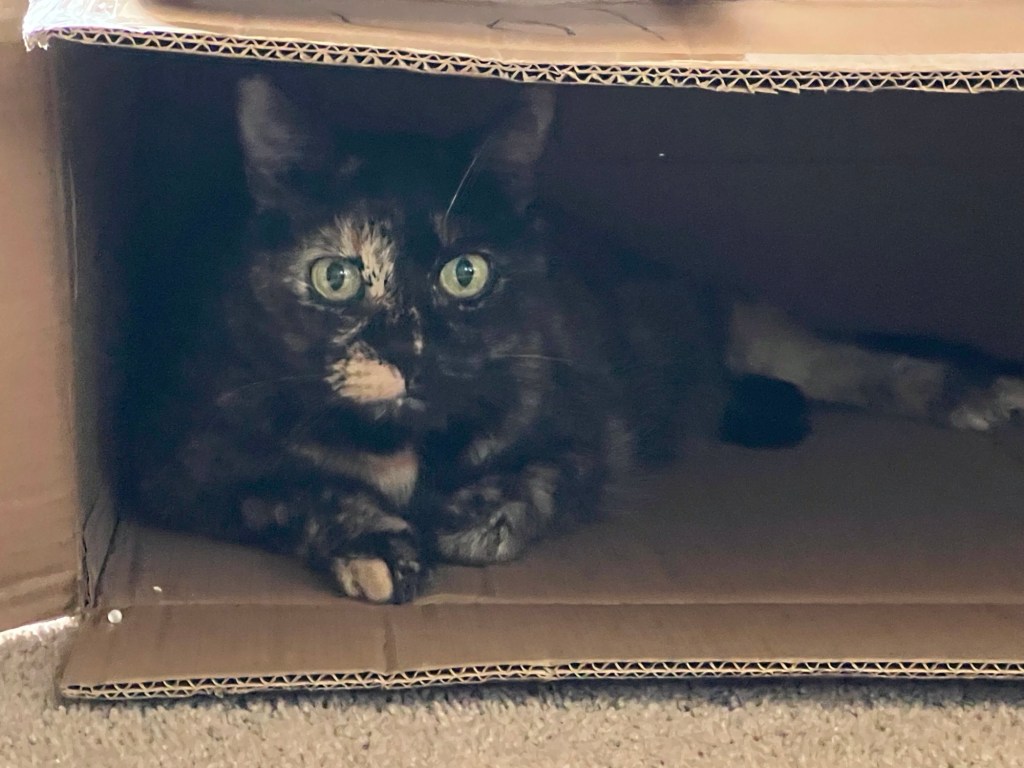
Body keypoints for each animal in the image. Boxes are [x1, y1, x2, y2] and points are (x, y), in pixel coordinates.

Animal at [123, 74, 1024, 605]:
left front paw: (477, 512)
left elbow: (552, 472)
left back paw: (981, 394)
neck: (406, 443)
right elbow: (293, 490)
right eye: (336, 277)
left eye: (466, 274)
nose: (409, 350)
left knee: (832, 355)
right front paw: (373, 540)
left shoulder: (592, 420)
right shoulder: (178, 465)